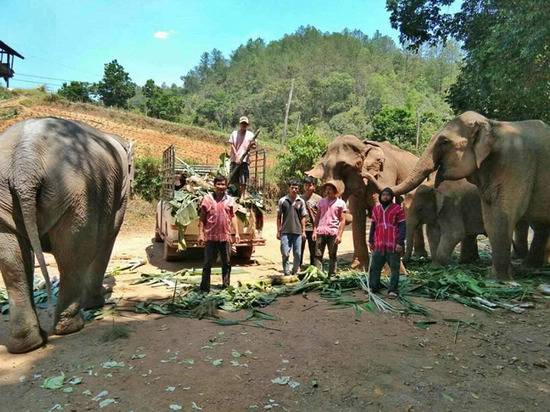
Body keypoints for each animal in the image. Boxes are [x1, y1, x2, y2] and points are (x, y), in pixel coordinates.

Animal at [0, 116, 133, 354]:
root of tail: (26, 160)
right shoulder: (121, 192)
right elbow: (109, 237)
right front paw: (97, 302)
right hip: (76, 195)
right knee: (71, 254)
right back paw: (64, 329)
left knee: (16, 260)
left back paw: (33, 341)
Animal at [308, 136, 430, 270]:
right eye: (324, 167)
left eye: (347, 166)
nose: (363, 174)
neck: (364, 146)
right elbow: (357, 214)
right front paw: (358, 268)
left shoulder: (383, 175)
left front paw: (389, 270)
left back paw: (417, 256)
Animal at [378, 111, 550, 280]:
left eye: (444, 142)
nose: (406, 263)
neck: (492, 125)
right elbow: (435, 233)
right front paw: (435, 266)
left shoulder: (515, 164)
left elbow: (493, 219)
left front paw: (496, 279)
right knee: (540, 227)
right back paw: (528, 266)